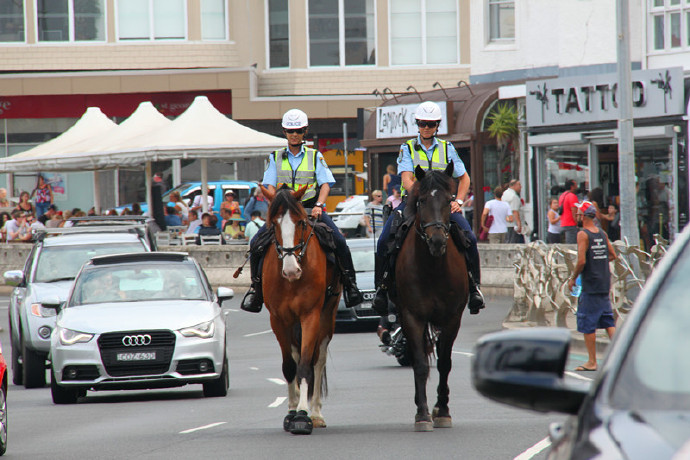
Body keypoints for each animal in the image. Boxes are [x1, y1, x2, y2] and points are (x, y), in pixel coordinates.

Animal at [258, 184, 342, 434]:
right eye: (273, 224)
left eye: (301, 222)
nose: (291, 270)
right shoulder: (278, 320)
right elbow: (289, 367)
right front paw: (291, 412)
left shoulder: (310, 316)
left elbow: (305, 365)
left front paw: (303, 415)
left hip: (327, 316)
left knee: (318, 359)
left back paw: (316, 413)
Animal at [392, 163, 468, 432]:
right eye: (422, 200)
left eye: (450, 200)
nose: (436, 241)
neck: (433, 267)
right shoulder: (411, 317)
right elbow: (421, 365)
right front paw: (423, 414)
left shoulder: (452, 318)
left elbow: (444, 363)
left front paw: (442, 410)